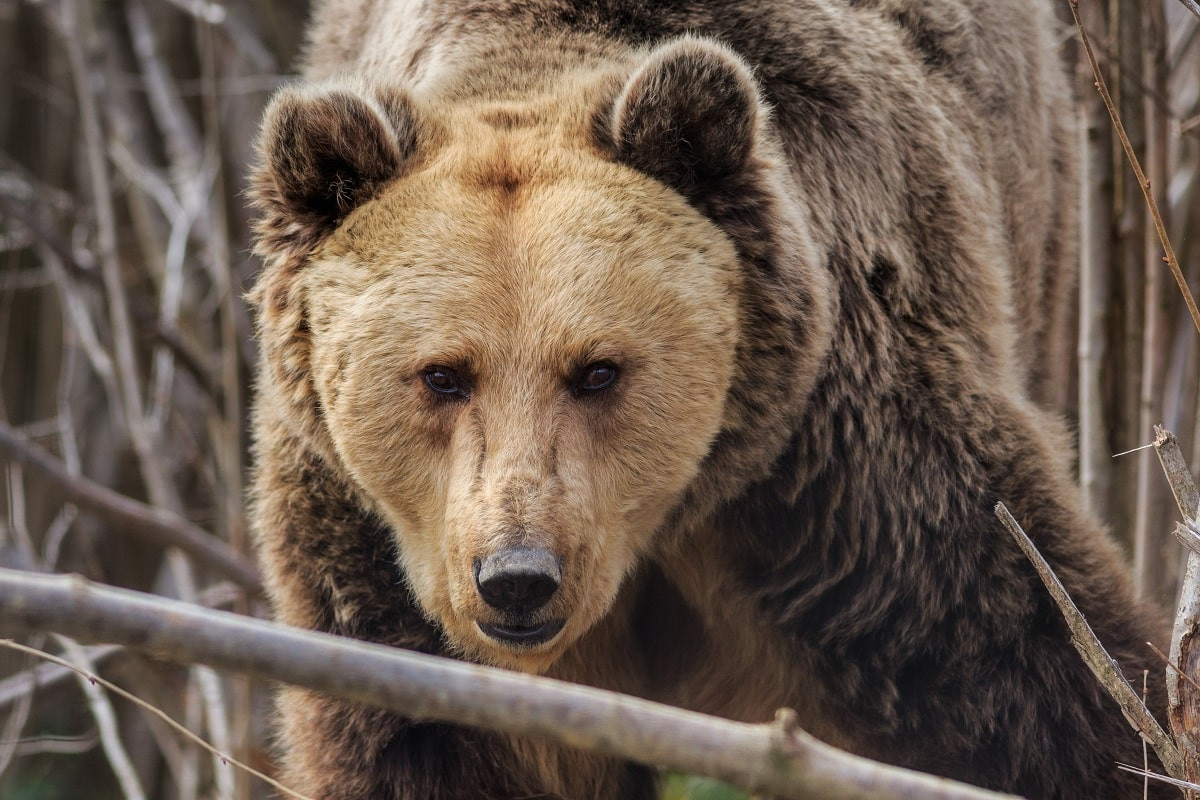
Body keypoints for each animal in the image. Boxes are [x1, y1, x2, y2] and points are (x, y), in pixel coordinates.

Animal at [248, 1, 1166, 800]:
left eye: (599, 370)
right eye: (442, 374)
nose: (517, 579)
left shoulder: (839, 494)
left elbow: (1026, 680)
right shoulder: (377, 565)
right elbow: (428, 748)